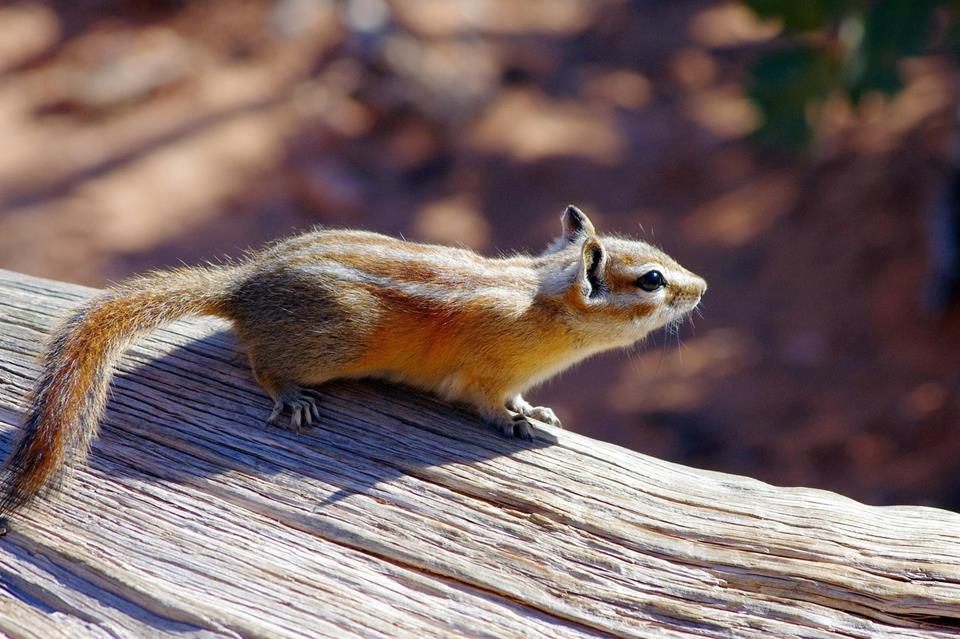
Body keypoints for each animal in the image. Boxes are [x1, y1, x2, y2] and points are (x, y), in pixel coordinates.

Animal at [0, 205, 705, 523]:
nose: (701, 288)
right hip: (333, 343)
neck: (542, 300)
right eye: (651, 280)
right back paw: (289, 395)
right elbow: (482, 402)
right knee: (258, 363)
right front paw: (515, 421)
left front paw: (536, 408)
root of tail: (242, 286)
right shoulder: (484, 372)